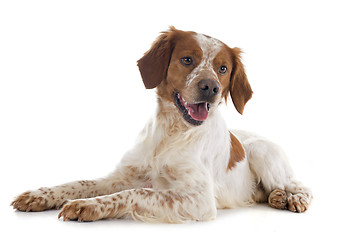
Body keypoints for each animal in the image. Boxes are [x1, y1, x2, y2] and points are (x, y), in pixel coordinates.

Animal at [10, 26, 312, 223]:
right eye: (187, 59)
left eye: (223, 69)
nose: (211, 88)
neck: (171, 132)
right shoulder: (122, 175)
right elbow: (80, 182)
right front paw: (39, 195)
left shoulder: (199, 198)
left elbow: (136, 193)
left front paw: (88, 206)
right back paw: (276, 197)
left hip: (262, 151)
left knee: (301, 185)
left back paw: (292, 198)